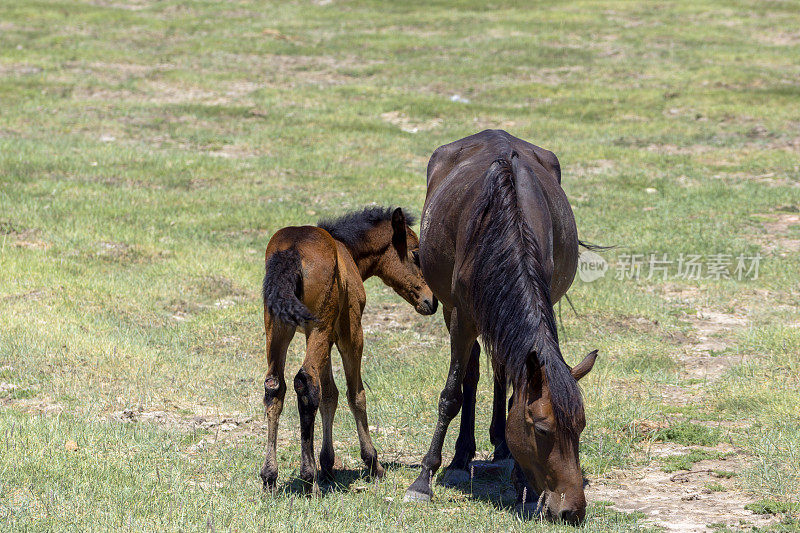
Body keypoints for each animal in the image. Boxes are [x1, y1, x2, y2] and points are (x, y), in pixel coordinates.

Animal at [260, 207, 438, 490]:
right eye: (416, 253)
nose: (432, 301)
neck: (346, 250)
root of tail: (291, 251)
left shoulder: (323, 336)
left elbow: (329, 395)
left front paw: (328, 464)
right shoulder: (350, 333)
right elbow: (356, 394)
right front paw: (373, 462)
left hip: (278, 329)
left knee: (276, 386)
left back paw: (270, 476)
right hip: (318, 328)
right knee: (305, 382)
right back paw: (309, 479)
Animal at [406, 131, 600, 520]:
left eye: (581, 427)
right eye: (542, 429)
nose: (571, 510)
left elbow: (514, 390)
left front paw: (521, 481)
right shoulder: (462, 316)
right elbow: (451, 394)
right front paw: (424, 479)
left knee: (500, 368)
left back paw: (500, 447)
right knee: (473, 372)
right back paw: (461, 458)